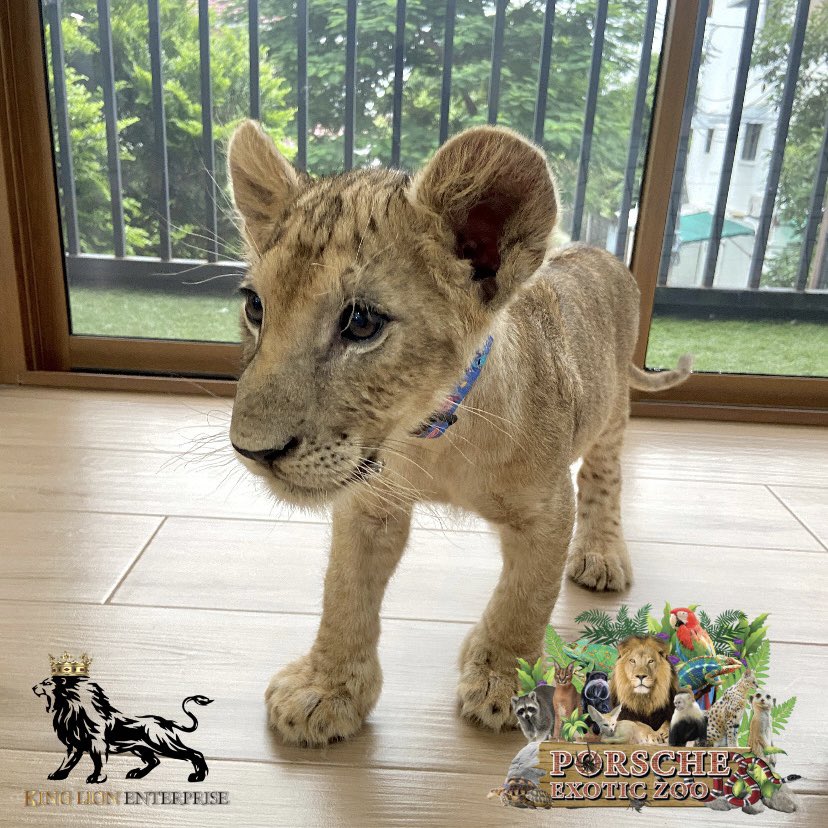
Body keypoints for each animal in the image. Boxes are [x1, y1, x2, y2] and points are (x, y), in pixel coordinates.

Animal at [33, 675, 212, 784]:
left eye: (47, 683)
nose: (33, 687)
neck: (70, 710)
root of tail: (165, 722)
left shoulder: (96, 744)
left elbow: (97, 762)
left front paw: (95, 778)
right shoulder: (75, 745)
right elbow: (67, 762)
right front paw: (58, 775)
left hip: (162, 743)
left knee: (195, 754)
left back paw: (198, 776)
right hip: (140, 748)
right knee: (154, 761)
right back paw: (136, 774)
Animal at [226, 121, 691, 746]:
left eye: (362, 323)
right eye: (256, 307)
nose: (252, 451)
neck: (429, 440)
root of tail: (596, 251)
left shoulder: (546, 511)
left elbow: (524, 599)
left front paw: (507, 683)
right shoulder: (368, 504)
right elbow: (344, 593)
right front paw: (326, 689)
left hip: (611, 407)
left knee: (604, 475)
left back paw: (600, 555)